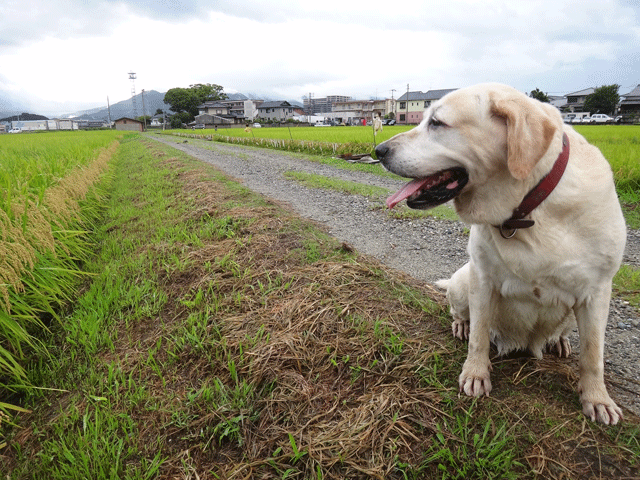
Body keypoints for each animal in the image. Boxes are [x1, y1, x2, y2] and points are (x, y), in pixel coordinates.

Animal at [376, 82, 624, 424]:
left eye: (437, 123)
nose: (378, 151)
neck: (527, 208)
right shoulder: (483, 278)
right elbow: (480, 336)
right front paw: (476, 374)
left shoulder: (597, 292)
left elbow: (593, 354)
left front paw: (597, 398)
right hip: (463, 281)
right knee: (462, 314)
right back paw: (462, 325)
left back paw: (559, 341)